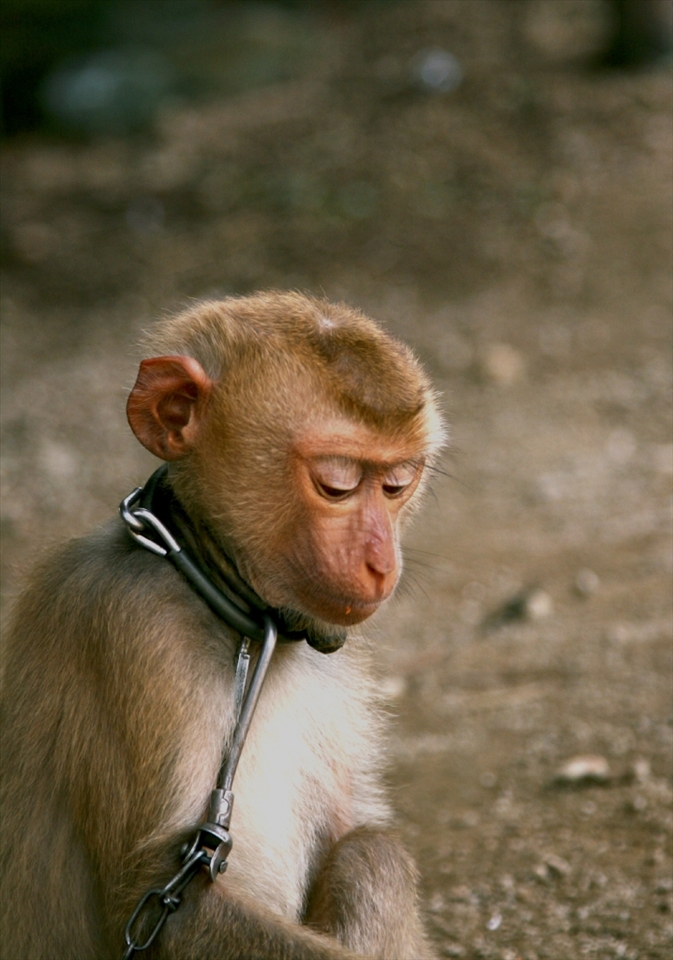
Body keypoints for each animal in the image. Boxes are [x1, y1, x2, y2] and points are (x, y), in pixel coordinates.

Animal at [0, 291, 445, 960]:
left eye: (398, 484)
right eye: (336, 484)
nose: (382, 563)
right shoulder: (132, 629)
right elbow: (157, 894)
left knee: (372, 853)